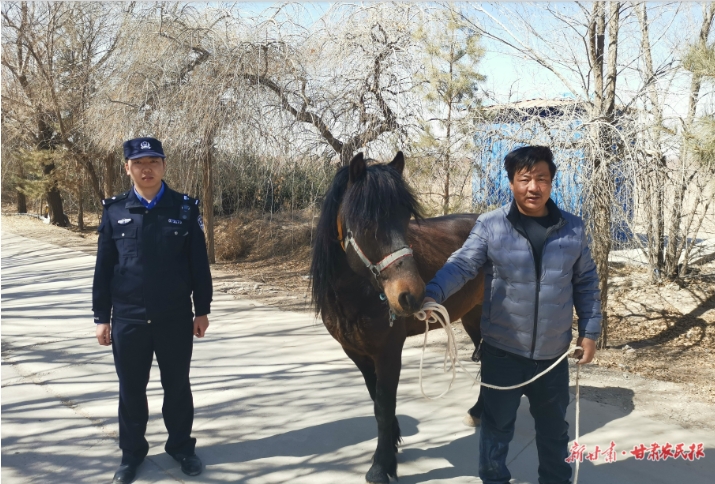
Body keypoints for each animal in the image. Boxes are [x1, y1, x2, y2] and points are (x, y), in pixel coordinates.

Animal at [310, 151, 485, 483]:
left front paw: (381, 466)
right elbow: (376, 400)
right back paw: (479, 412)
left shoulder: (389, 351)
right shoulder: (357, 353)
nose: (411, 295)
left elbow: (384, 404)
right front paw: (391, 445)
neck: (356, 295)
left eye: (405, 218)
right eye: (366, 223)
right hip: (474, 317)